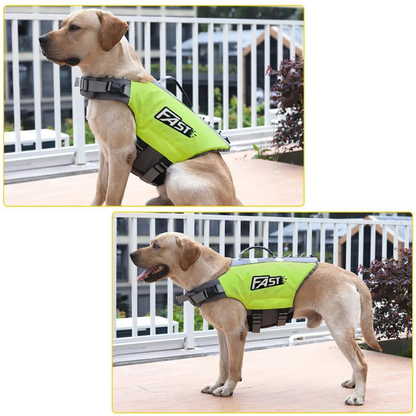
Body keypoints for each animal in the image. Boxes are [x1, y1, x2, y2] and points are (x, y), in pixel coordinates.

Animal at [39, 8, 240, 206]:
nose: (41, 39)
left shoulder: (122, 152)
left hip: (177, 175)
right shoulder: (105, 152)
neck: (111, 80)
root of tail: (234, 199)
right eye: (62, 25)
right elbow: (101, 189)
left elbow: (112, 196)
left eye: (74, 27)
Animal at [131, 232, 384, 404]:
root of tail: (350, 275)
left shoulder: (235, 333)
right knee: (358, 358)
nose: (132, 254)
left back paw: (358, 397)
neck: (210, 276)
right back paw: (354, 384)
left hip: (339, 329)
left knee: (361, 363)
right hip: (343, 330)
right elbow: (223, 364)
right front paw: (217, 384)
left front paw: (228, 389)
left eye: (155, 245)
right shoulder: (222, 333)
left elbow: (234, 367)